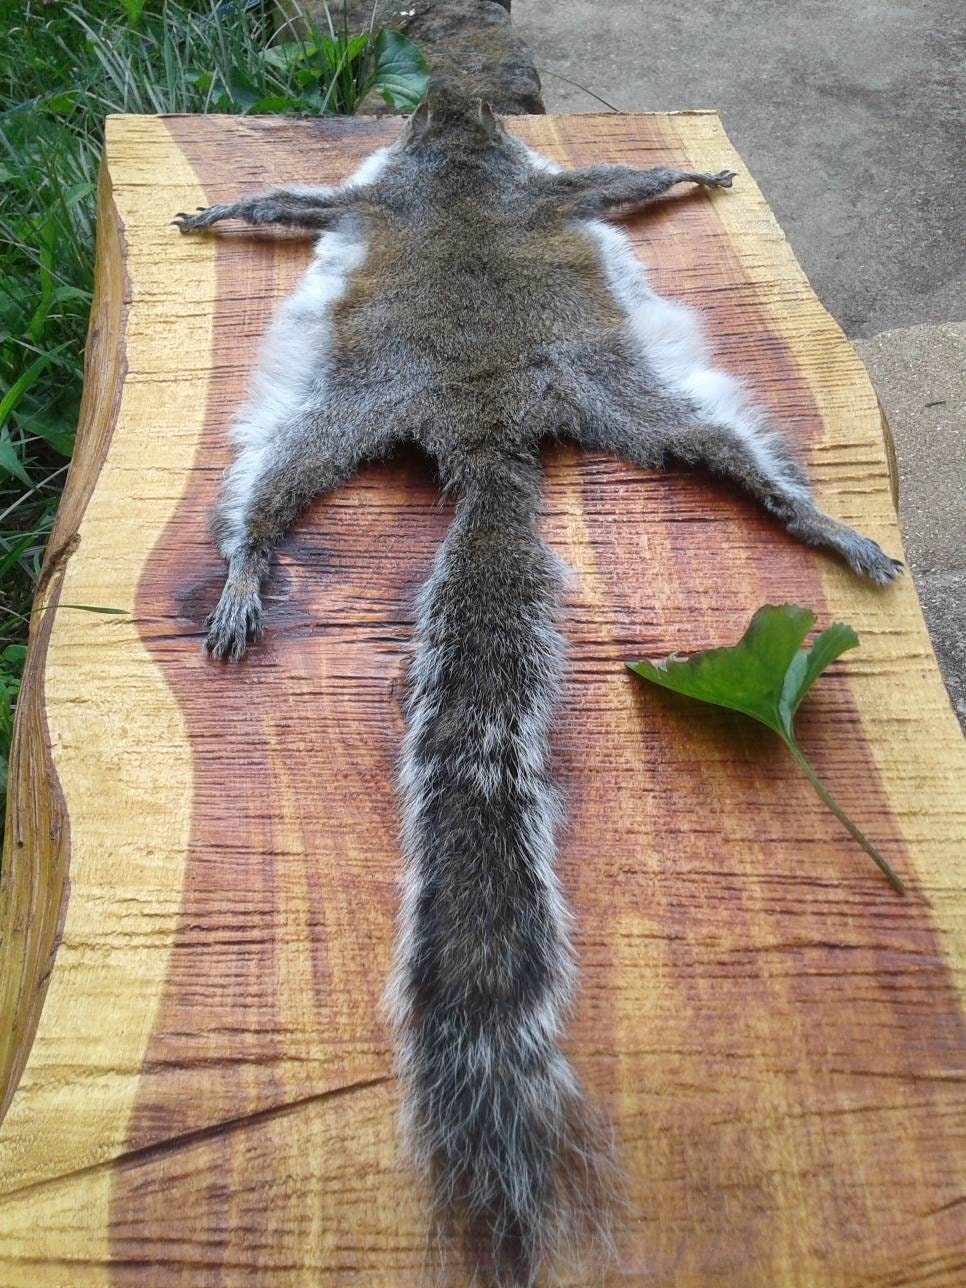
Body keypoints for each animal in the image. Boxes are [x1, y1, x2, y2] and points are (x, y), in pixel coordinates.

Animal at [175, 87, 902, 1286]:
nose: (447, 109)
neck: (464, 160)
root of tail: (486, 422)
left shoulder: (463, 189)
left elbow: (594, 185)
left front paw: (689, 177)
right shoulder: (415, 192)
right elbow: (298, 201)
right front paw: (222, 206)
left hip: (588, 386)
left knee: (723, 452)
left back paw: (820, 525)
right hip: (387, 397)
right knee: (281, 481)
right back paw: (247, 567)